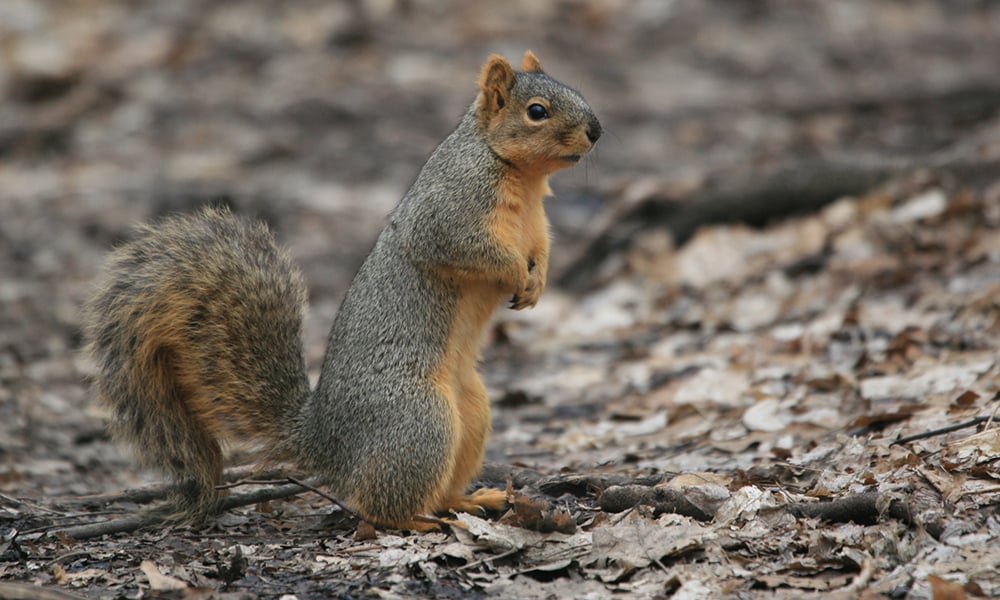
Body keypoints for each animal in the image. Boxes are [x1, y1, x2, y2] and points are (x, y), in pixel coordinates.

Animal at [84, 50, 600, 528]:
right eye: (537, 111)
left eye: (572, 89)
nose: (596, 130)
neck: (520, 176)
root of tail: (324, 440)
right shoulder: (450, 210)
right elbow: (464, 248)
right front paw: (515, 274)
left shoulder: (537, 227)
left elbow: (542, 250)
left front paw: (536, 284)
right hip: (419, 419)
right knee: (379, 506)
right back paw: (417, 520)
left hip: (470, 413)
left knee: (432, 486)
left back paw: (472, 500)